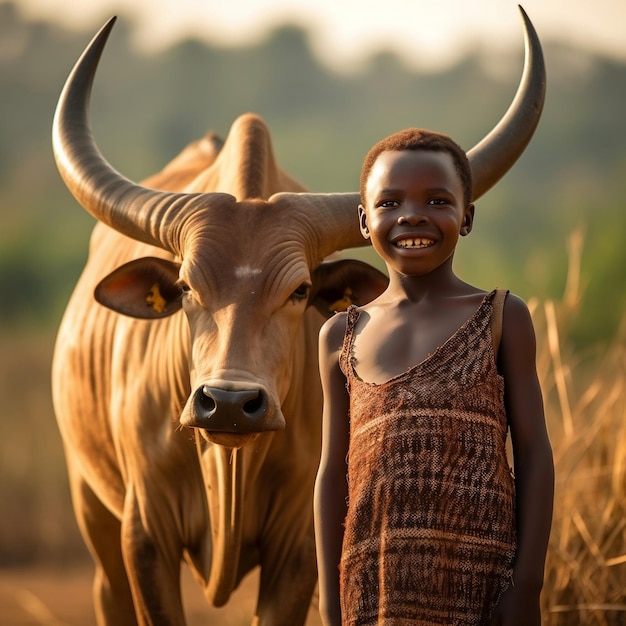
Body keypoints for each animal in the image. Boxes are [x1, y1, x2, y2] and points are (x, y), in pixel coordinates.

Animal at [52, 8, 540, 624]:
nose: (229, 402)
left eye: (300, 290)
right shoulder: (145, 536)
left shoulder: (299, 547)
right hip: (91, 505)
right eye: (186, 287)